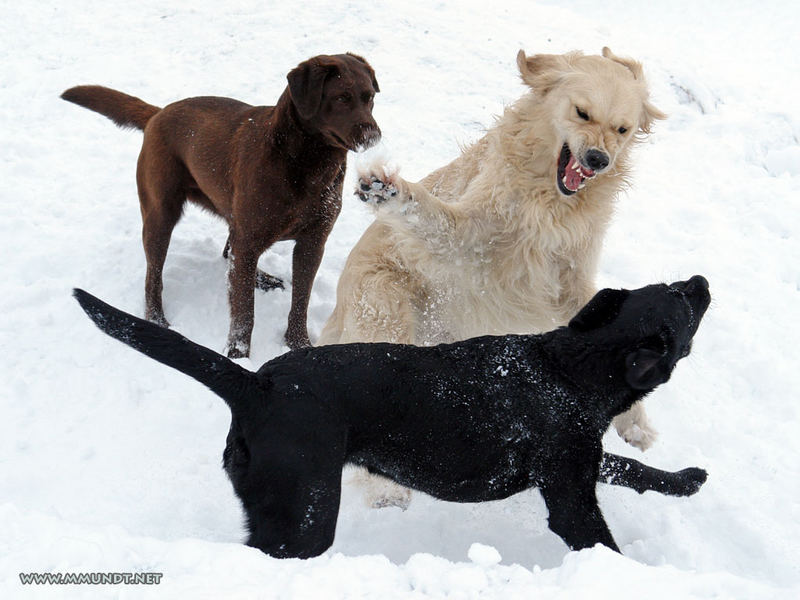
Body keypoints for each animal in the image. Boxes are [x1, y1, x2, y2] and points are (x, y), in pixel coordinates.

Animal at [62, 52, 382, 356]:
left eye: (369, 97)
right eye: (341, 97)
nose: (373, 136)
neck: (305, 164)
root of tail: (159, 113)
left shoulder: (312, 242)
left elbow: (300, 301)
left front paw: (298, 344)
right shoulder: (253, 238)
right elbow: (244, 312)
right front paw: (238, 355)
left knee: (230, 255)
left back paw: (260, 278)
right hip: (160, 215)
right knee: (155, 276)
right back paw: (157, 320)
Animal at [73, 276, 712, 556]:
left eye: (670, 284)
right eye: (680, 301)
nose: (701, 279)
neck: (571, 369)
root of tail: (257, 384)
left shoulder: (577, 464)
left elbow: (631, 468)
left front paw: (685, 480)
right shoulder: (570, 497)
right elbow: (603, 537)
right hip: (306, 514)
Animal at [322, 48, 664, 506]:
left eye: (622, 129)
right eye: (582, 112)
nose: (597, 161)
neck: (552, 202)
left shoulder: (571, 280)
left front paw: (636, 423)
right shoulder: (473, 241)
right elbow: (435, 218)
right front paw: (389, 190)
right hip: (386, 312)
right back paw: (387, 492)